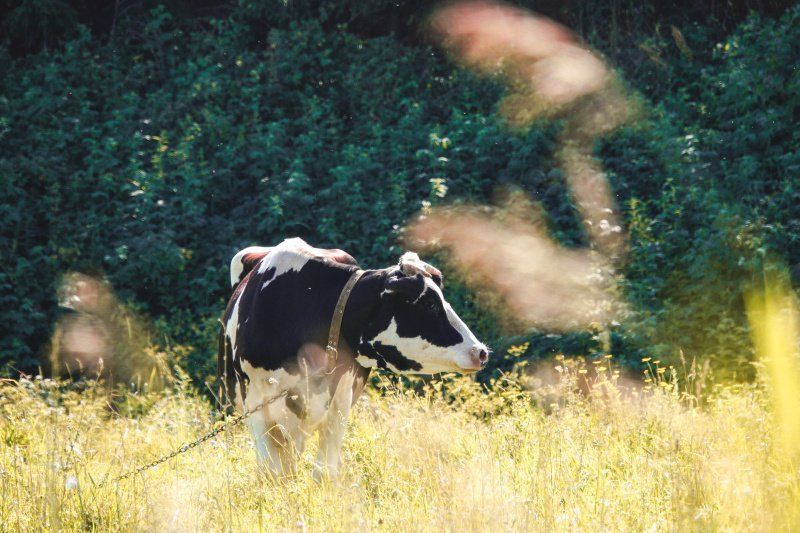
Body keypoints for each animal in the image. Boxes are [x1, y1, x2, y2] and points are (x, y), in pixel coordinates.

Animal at [216, 237, 488, 478]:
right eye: (429, 304)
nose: (480, 351)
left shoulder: (340, 394)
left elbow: (323, 471)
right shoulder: (254, 400)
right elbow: (272, 471)